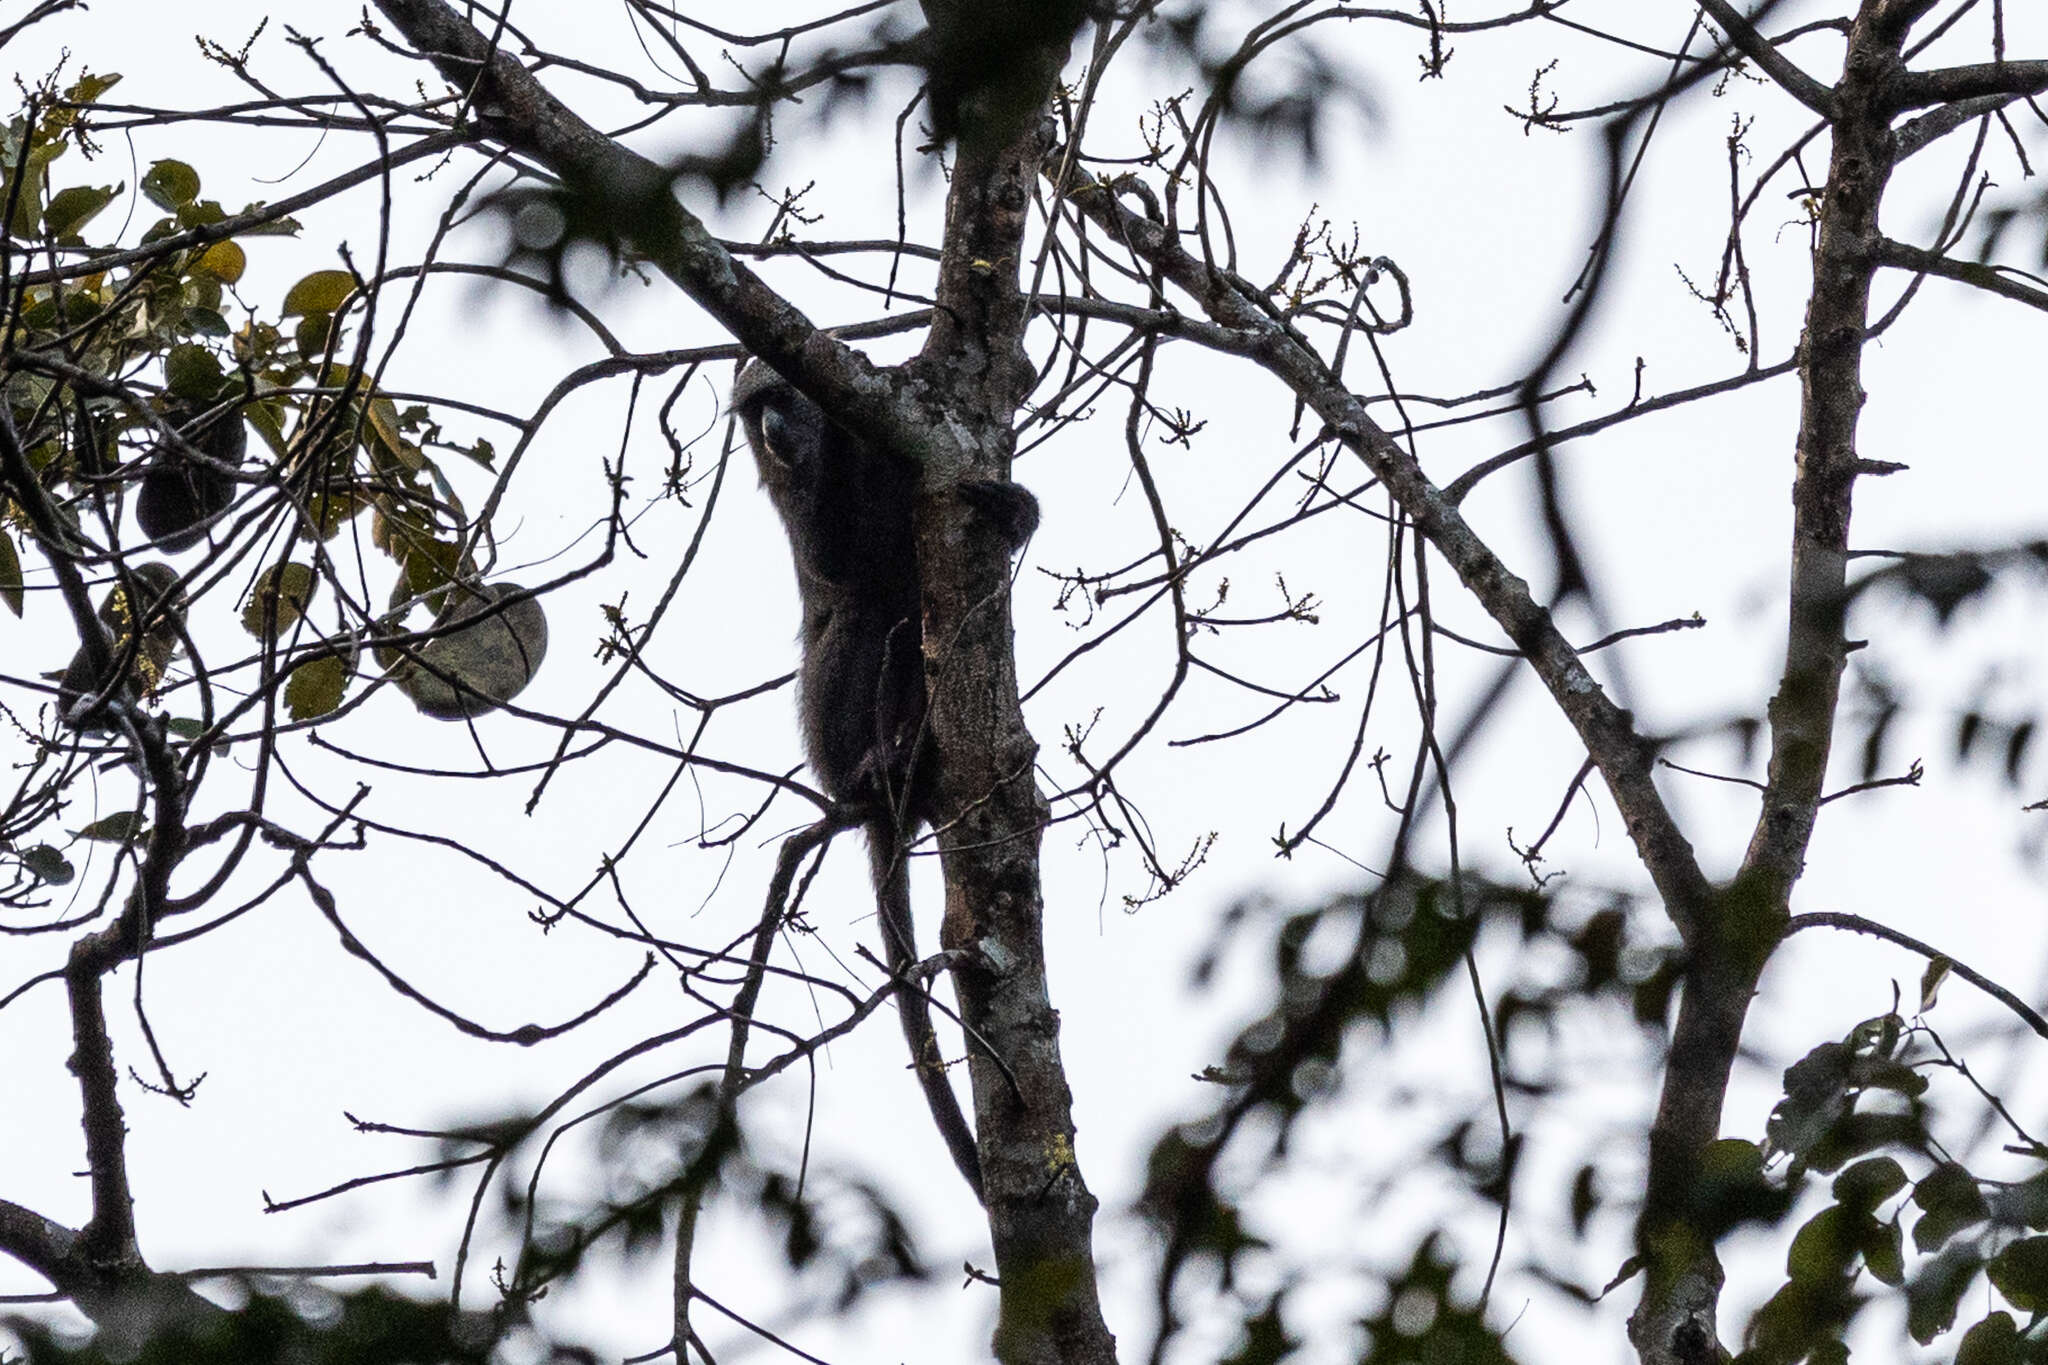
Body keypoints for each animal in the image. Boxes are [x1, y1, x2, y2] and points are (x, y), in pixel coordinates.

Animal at [733, 358, 1040, 1203]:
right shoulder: (793, 489)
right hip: (827, 733)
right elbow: (836, 564)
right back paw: (880, 767)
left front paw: (1019, 511)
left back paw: (914, 751)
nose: (774, 430)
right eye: (753, 410)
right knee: (866, 610)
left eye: (780, 398)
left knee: (905, 613)